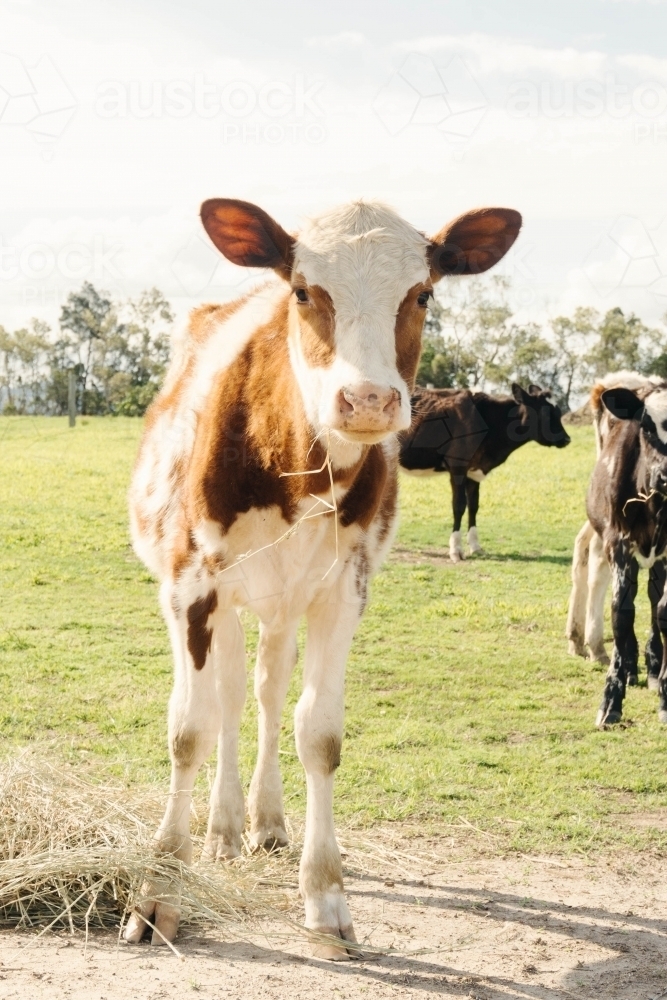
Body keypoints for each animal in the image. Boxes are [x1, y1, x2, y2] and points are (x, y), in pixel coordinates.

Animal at [125, 195, 520, 952]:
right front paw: (158, 892)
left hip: (282, 604)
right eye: (304, 292)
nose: (366, 400)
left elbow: (319, 734)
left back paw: (263, 822)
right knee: (225, 699)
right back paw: (221, 828)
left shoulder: (345, 588)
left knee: (262, 694)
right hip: (226, 598)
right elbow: (189, 729)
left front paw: (327, 896)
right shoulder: (190, 585)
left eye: (422, 294)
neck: (292, 464)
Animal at [400, 382, 572, 564]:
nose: (567, 439)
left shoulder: (474, 472)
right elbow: (459, 506)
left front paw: (475, 546)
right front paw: (456, 550)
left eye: (558, 412)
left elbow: (474, 506)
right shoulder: (458, 467)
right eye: (545, 413)